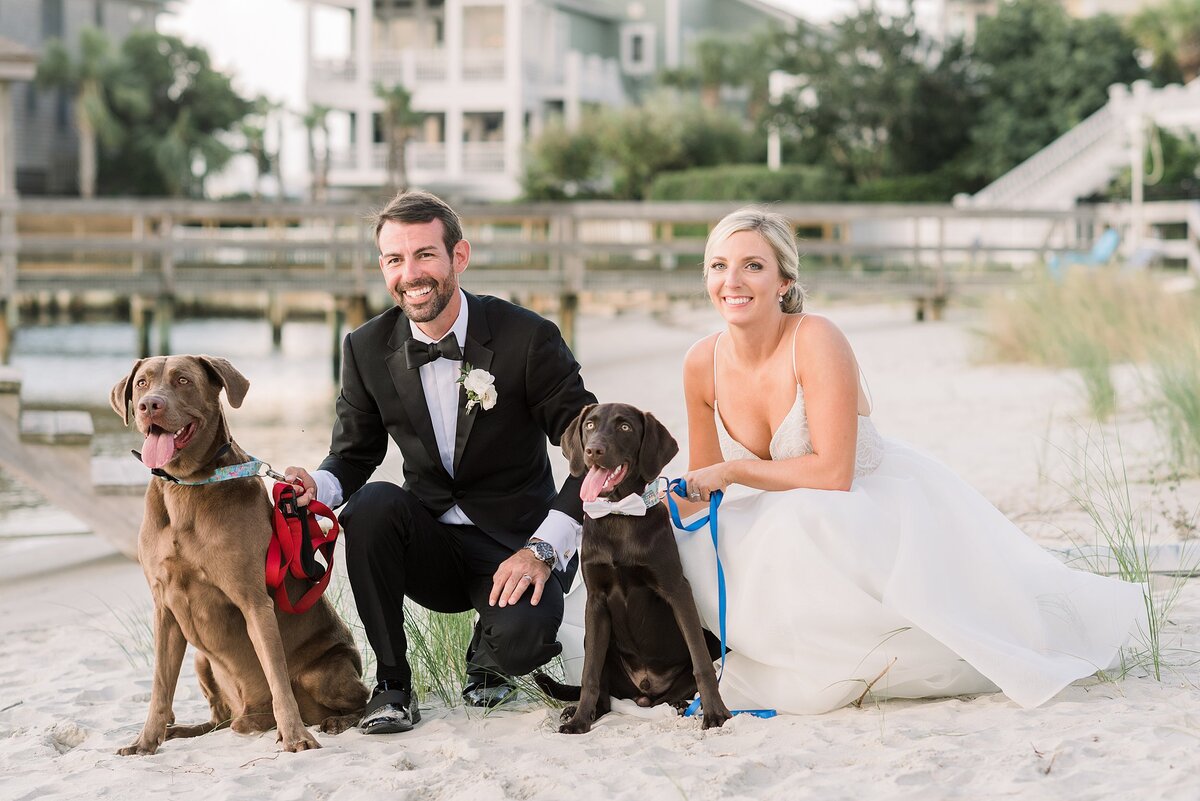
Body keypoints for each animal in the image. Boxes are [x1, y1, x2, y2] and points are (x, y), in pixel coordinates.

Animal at [112, 352, 364, 753]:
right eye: (141, 383)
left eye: (183, 380)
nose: (149, 405)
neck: (187, 485)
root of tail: (250, 715)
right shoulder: (164, 608)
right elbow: (160, 687)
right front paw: (146, 741)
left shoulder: (254, 603)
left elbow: (277, 677)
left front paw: (295, 736)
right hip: (201, 660)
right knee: (219, 719)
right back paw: (186, 730)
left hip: (325, 672)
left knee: (362, 698)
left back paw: (334, 721)